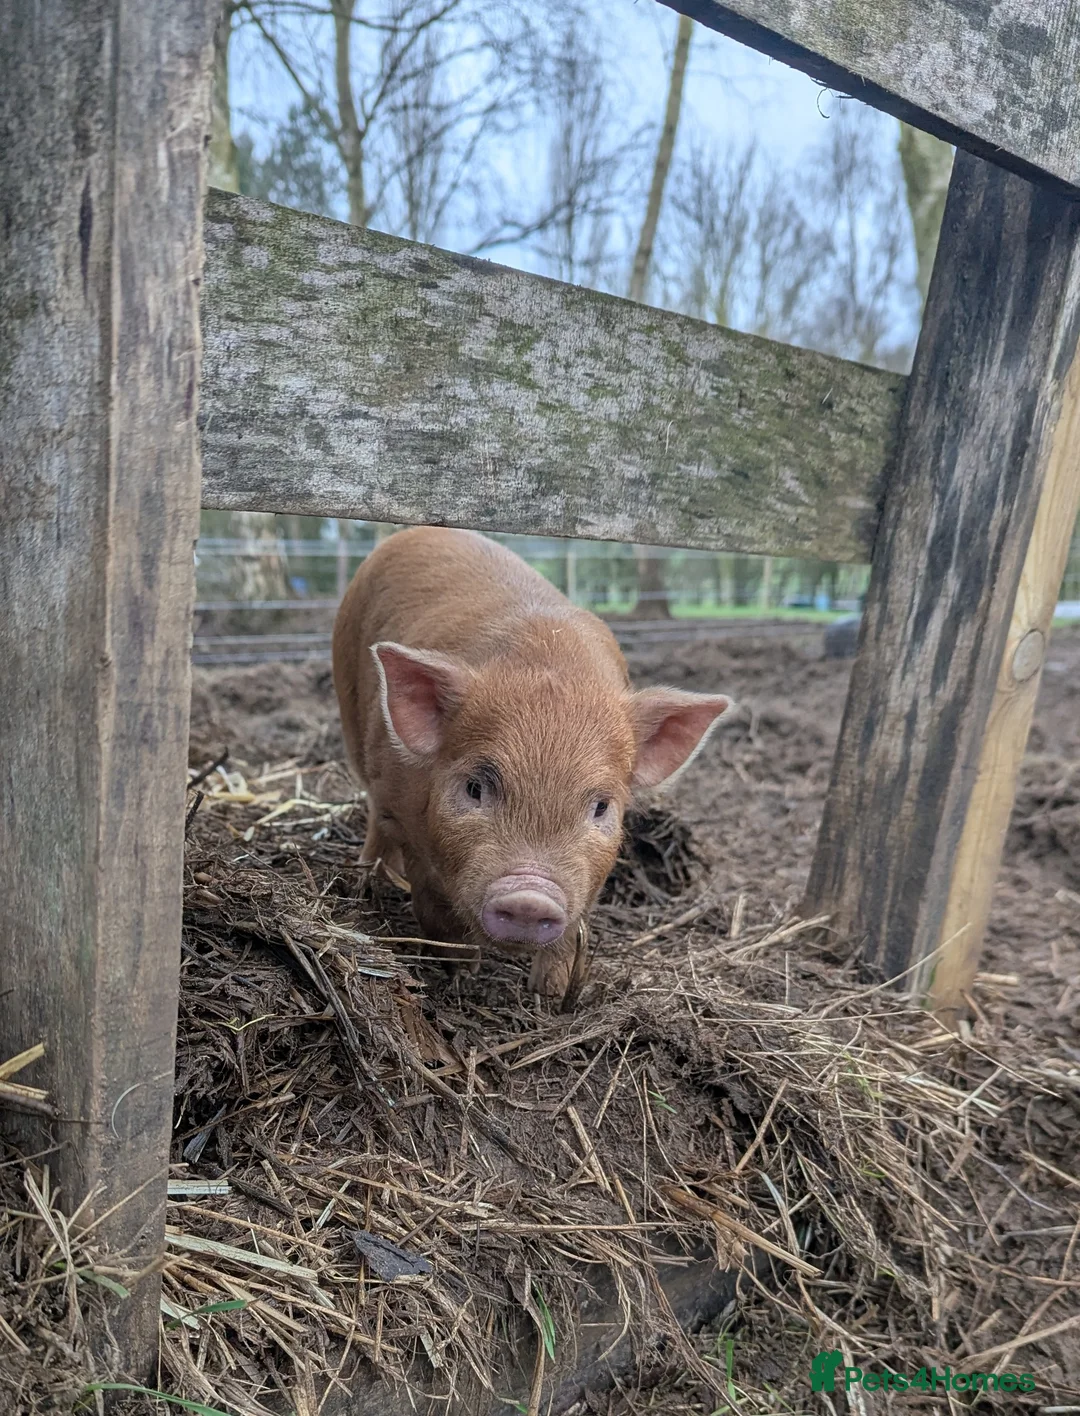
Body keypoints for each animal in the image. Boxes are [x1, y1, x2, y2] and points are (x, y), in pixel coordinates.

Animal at [332, 527, 732, 998]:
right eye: (474, 787)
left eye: (601, 807)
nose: (529, 898)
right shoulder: (410, 823)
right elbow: (435, 910)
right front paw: (463, 979)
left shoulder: (585, 882)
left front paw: (548, 996)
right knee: (374, 814)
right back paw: (369, 878)